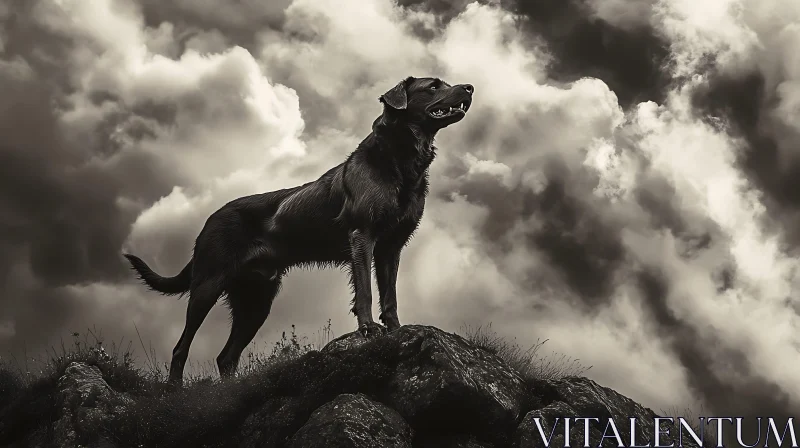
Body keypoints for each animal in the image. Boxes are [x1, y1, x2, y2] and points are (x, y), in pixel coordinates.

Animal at [124, 77, 472, 384]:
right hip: (208, 285)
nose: (469, 87)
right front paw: (368, 329)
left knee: (226, 356)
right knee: (181, 347)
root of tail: (209, 219)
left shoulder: (391, 246)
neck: (399, 160)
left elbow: (390, 295)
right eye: (433, 86)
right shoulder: (362, 236)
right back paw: (173, 392)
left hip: (257, 301)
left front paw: (397, 330)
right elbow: (365, 291)